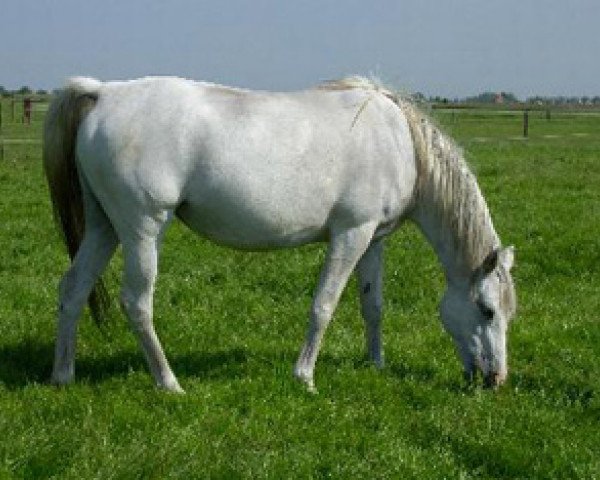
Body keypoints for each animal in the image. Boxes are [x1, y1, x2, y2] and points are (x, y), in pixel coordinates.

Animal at [43, 74, 516, 390]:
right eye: (487, 310)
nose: (495, 379)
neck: (400, 140)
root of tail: (105, 92)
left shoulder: (373, 240)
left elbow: (373, 305)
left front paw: (376, 363)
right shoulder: (351, 234)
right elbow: (324, 305)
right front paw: (304, 377)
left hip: (104, 226)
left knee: (73, 288)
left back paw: (63, 375)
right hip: (142, 228)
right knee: (137, 302)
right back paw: (169, 383)